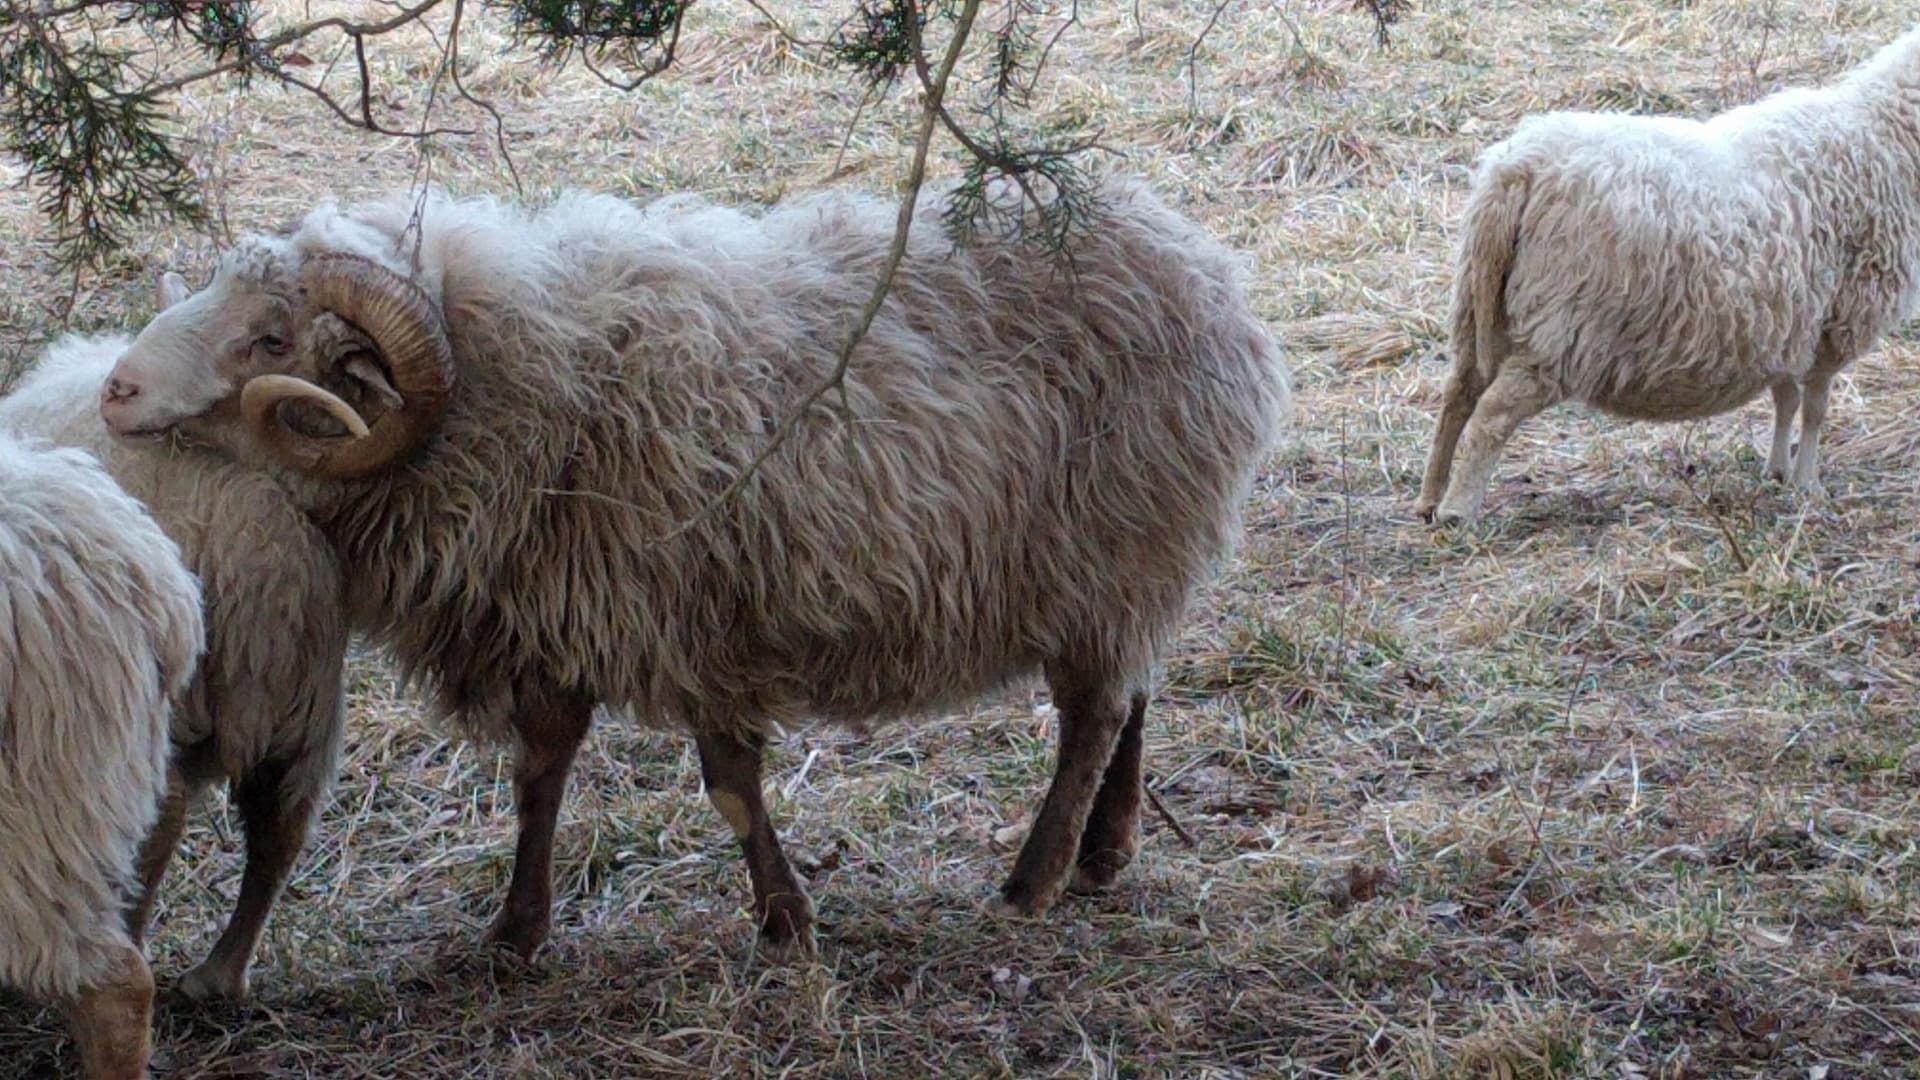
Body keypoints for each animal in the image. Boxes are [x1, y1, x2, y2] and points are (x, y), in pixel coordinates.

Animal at [95, 174, 1290, 957]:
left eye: (272, 340)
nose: (114, 388)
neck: (540, 390)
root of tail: (1212, 273)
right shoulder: (556, 611)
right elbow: (541, 772)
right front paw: (519, 932)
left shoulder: (701, 615)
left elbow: (728, 784)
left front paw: (785, 919)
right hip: (1125, 564)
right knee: (1133, 689)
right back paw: (1103, 854)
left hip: (1113, 545)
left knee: (1091, 716)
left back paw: (1034, 881)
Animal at [1418, 24, 1920, 525]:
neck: (1885, 132)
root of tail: (1519, 170)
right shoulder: (1840, 319)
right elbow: (1815, 408)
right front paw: (1807, 484)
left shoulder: (1789, 317)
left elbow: (1786, 398)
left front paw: (1777, 472)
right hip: (1563, 326)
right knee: (1493, 413)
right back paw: (1458, 510)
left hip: (1480, 302)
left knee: (1458, 391)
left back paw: (1430, 497)